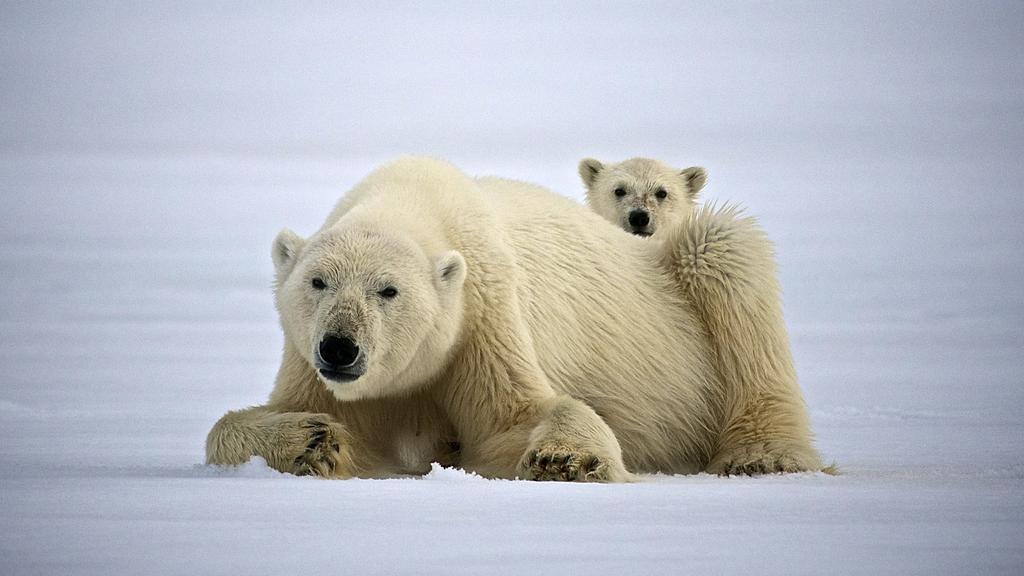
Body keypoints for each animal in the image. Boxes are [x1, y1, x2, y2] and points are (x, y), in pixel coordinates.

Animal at [203, 154, 819, 477]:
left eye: (388, 290)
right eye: (318, 281)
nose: (339, 347)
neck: (416, 198)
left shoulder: (484, 313)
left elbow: (513, 419)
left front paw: (565, 456)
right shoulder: (317, 364)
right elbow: (249, 423)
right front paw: (310, 438)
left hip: (689, 272)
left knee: (730, 262)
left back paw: (760, 457)